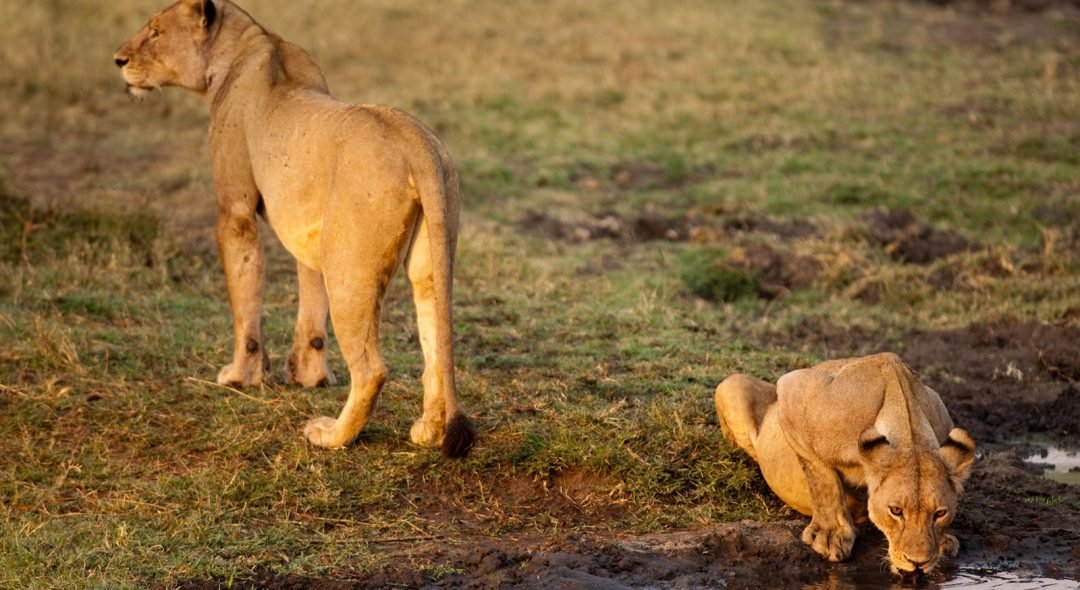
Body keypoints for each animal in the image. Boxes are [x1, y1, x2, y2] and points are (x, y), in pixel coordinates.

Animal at [114, 0, 475, 457]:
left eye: (156, 32)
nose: (118, 60)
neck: (245, 47)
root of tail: (416, 143)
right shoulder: (309, 230)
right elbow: (309, 304)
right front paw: (309, 375)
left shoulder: (234, 209)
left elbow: (245, 300)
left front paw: (241, 375)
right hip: (426, 257)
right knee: (436, 347)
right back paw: (427, 432)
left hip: (349, 269)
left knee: (372, 369)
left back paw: (331, 435)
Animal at [714, 353, 975, 575]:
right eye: (896, 511)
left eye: (940, 513)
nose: (918, 563)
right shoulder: (792, 388)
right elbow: (822, 478)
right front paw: (830, 536)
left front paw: (944, 542)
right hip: (730, 385)